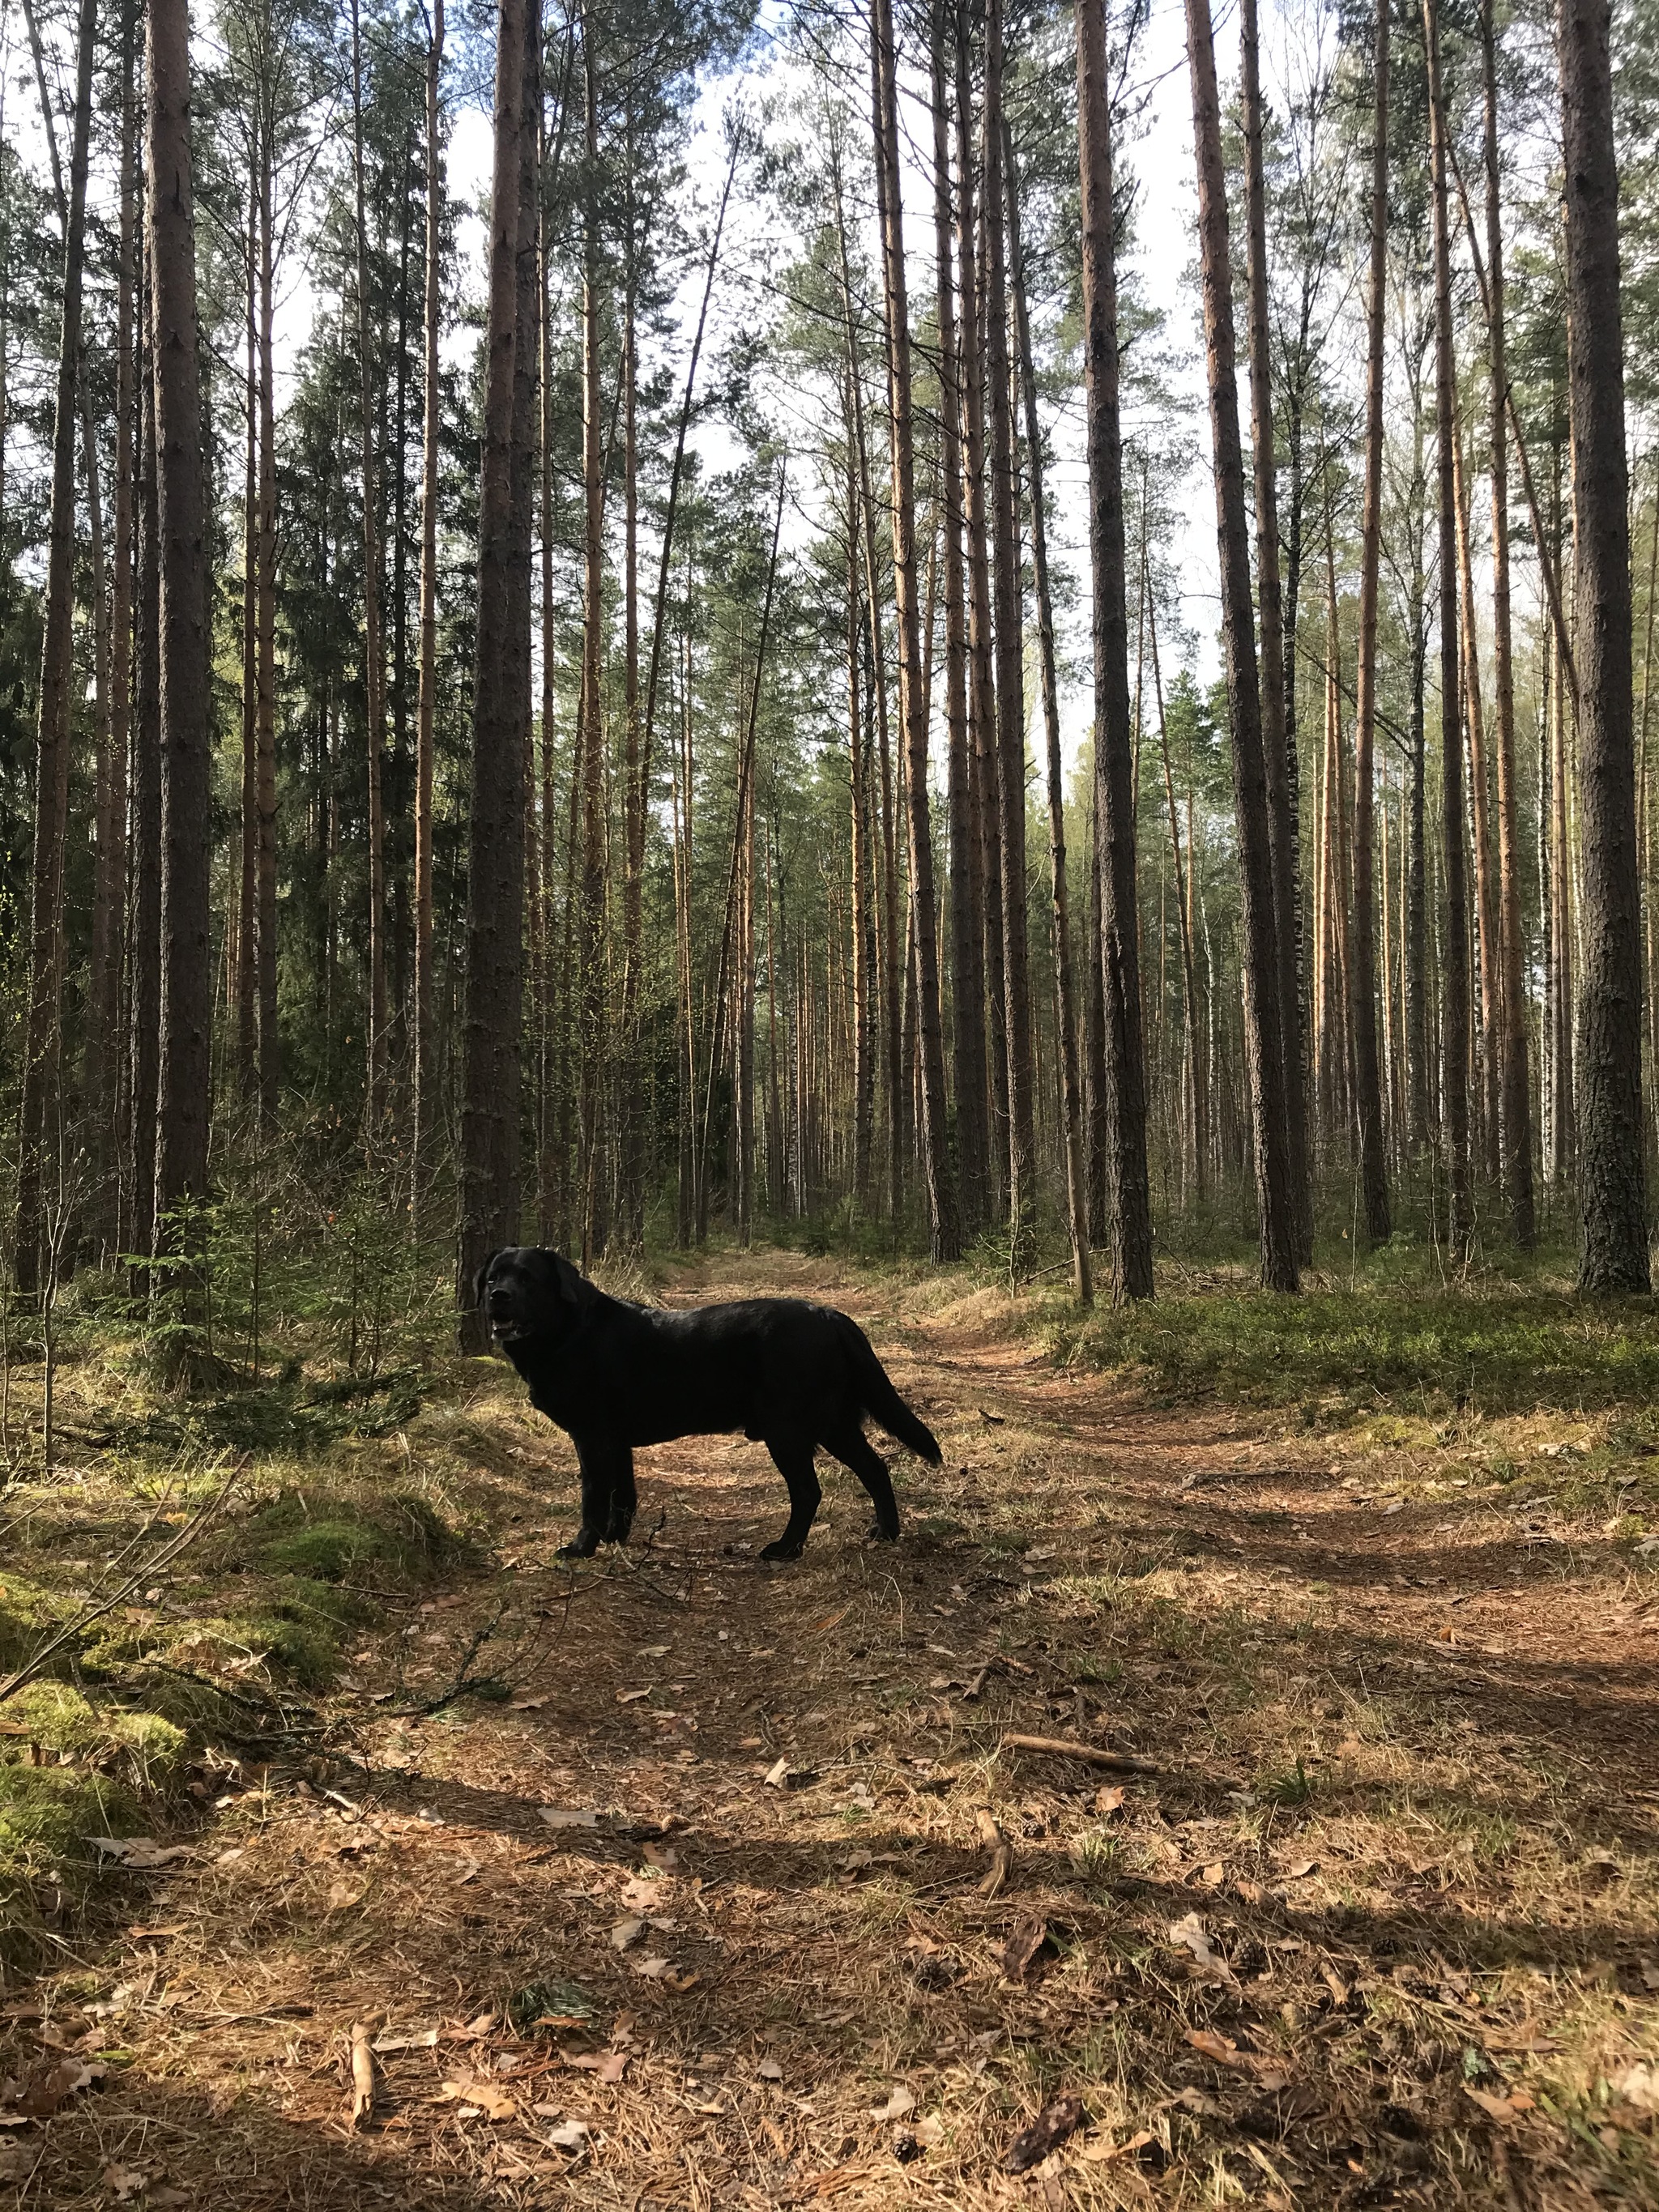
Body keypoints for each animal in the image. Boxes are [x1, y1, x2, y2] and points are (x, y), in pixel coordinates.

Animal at [484, 1256, 946, 1566]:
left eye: (527, 1278)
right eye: (492, 1276)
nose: (496, 1297)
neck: (569, 1334)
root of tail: (831, 1316)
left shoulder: (592, 1437)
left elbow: (594, 1497)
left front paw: (581, 1548)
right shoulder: (616, 1441)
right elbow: (623, 1494)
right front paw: (617, 1538)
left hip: (787, 1430)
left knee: (808, 1491)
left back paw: (785, 1549)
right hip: (835, 1426)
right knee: (875, 1469)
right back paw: (886, 1532)